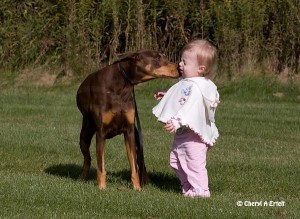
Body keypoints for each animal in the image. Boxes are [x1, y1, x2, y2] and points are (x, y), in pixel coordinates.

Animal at [76, 49, 179, 190]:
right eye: (157, 58)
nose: (179, 67)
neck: (121, 85)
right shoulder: (101, 132)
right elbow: (101, 165)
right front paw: (102, 187)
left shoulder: (129, 131)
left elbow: (134, 165)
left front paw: (137, 188)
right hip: (84, 135)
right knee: (87, 159)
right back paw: (82, 178)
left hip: (137, 138)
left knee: (141, 160)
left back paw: (146, 180)